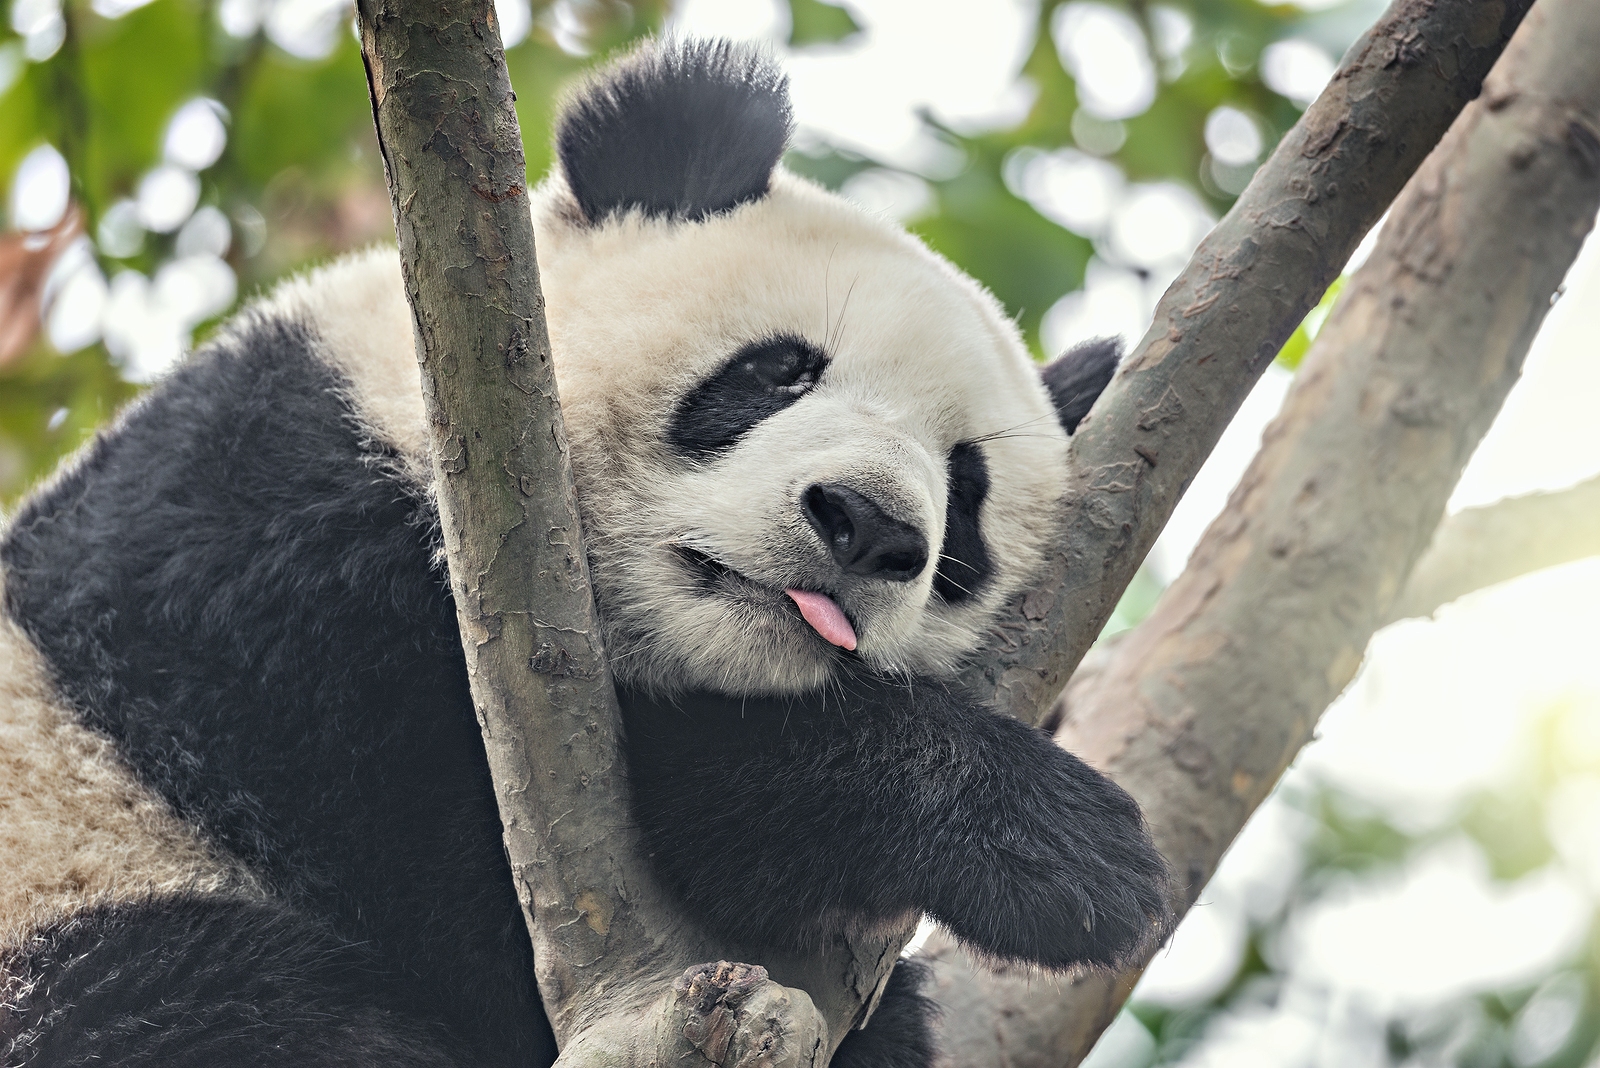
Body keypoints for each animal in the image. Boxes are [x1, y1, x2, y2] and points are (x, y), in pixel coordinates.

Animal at [0, 39, 1168, 1067]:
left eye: (966, 497)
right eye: (777, 372)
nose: (869, 524)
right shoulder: (253, 542)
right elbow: (428, 834)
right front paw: (1048, 843)